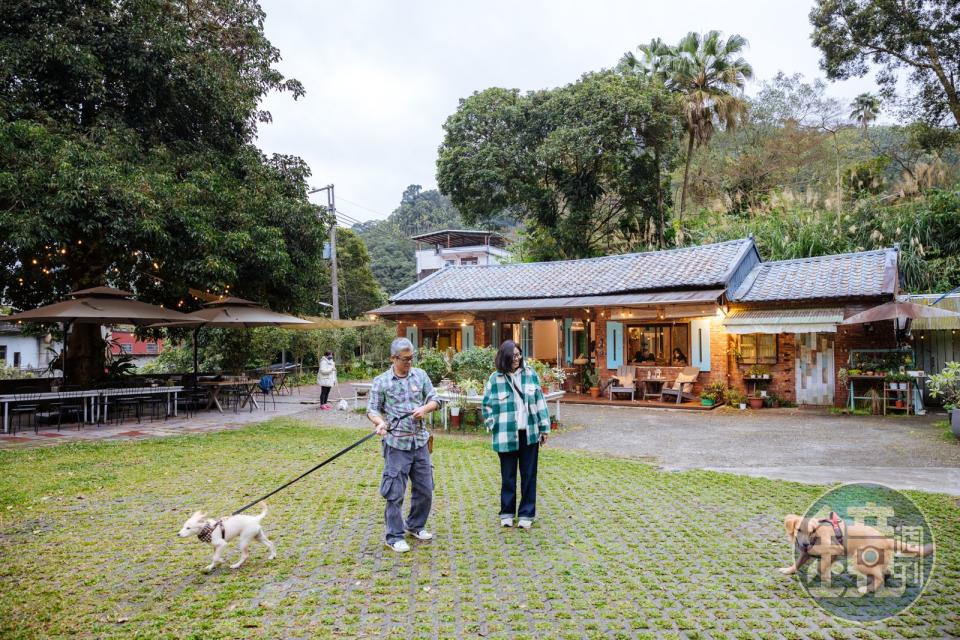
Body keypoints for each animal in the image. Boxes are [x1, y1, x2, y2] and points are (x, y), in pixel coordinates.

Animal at [780, 512, 928, 592]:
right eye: (799, 530)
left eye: (812, 531)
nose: (805, 544)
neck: (815, 538)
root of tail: (886, 539)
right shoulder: (809, 554)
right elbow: (798, 563)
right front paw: (788, 570)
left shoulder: (834, 550)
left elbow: (820, 566)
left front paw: (826, 580)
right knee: (885, 573)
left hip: (859, 560)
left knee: (879, 577)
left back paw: (867, 589)